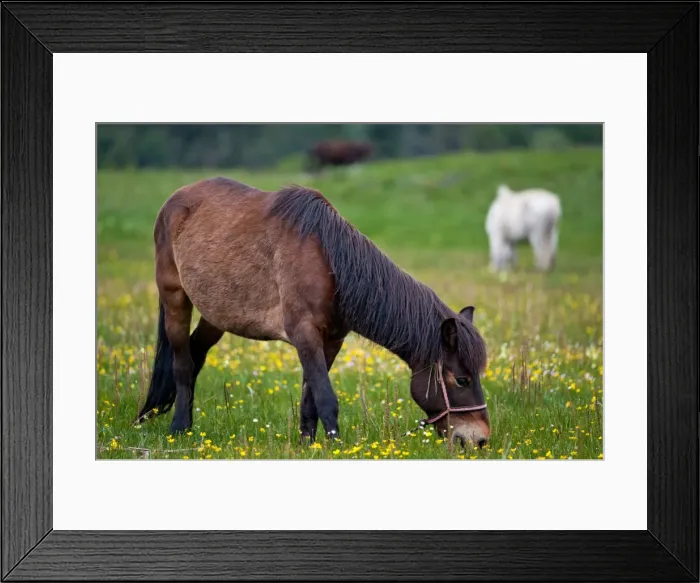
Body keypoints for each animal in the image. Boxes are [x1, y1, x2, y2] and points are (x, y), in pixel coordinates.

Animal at [136, 177, 491, 448]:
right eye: (461, 379)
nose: (479, 440)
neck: (330, 265)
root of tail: (175, 200)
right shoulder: (304, 334)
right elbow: (326, 397)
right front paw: (335, 446)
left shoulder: (330, 340)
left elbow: (310, 398)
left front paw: (308, 444)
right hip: (175, 299)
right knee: (182, 363)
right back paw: (179, 428)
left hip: (217, 315)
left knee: (195, 354)